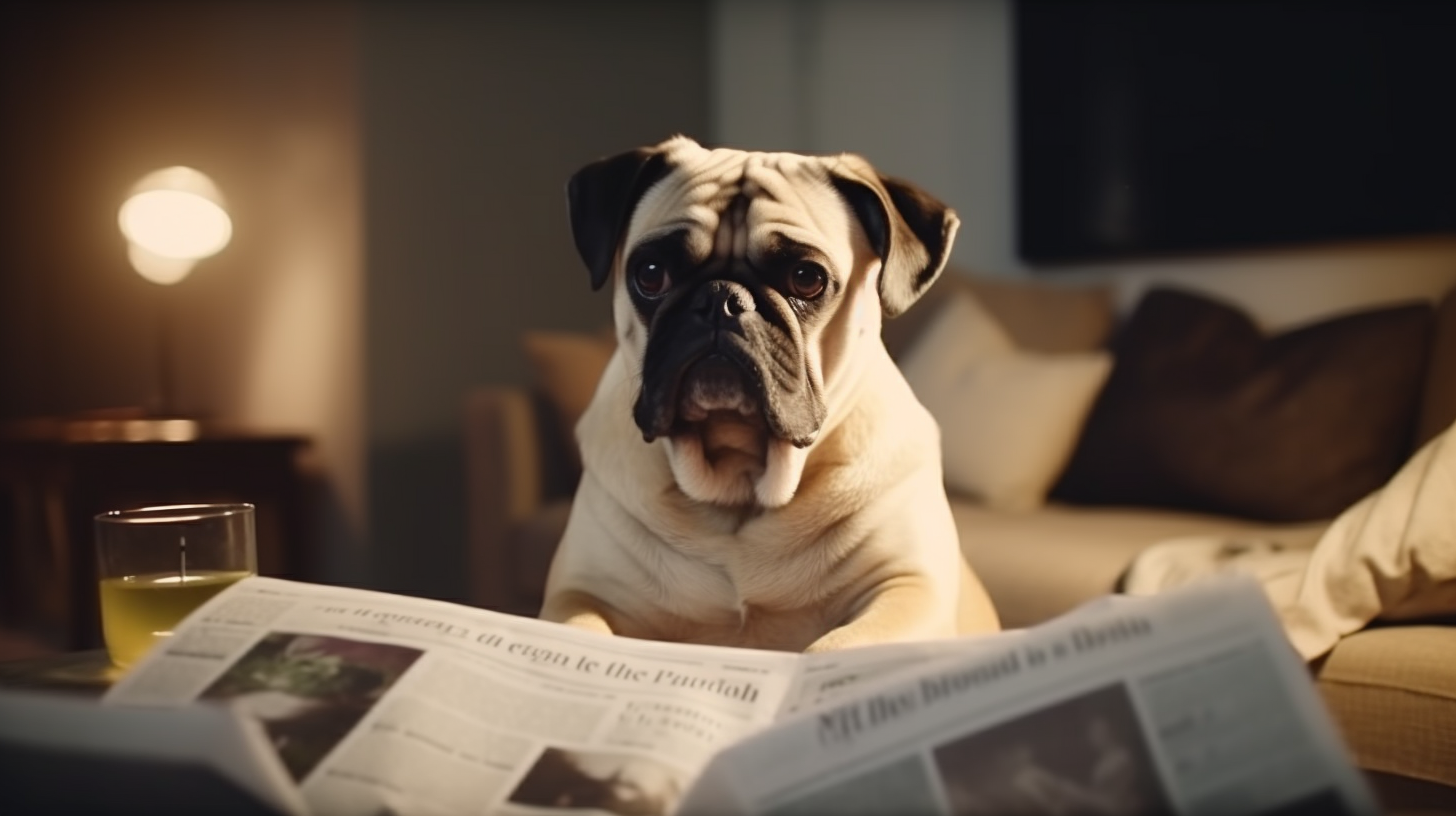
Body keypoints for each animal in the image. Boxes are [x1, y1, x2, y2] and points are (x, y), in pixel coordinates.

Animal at [538, 136, 1001, 652]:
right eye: (651, 274)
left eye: (807, 278)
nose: (721, 298)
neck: (740, 483)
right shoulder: (580, 595)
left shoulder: (908, 591)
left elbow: (835, 648)